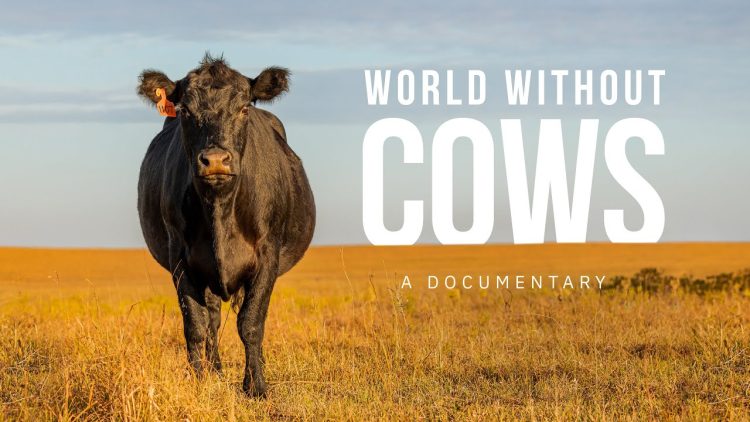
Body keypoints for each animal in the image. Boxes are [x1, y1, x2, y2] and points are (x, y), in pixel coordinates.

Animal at [136, 55, 315, 397]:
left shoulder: (268, 254)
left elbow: (252, 322)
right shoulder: (180, 258)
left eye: (244, 108)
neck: (220, 210)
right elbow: (196, 324)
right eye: (185, 111)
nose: (216, 160)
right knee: (213, 319)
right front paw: (199, 380)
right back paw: (215, 370)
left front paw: (256, 386)